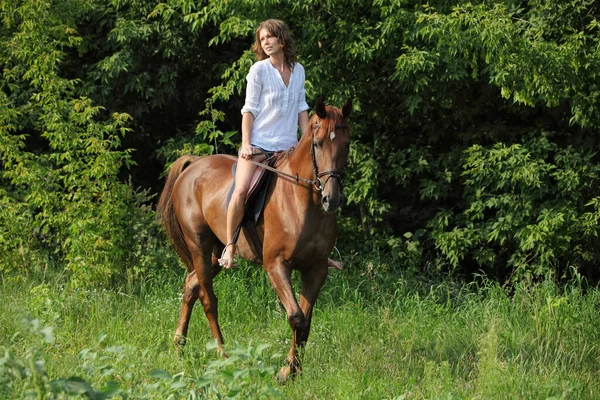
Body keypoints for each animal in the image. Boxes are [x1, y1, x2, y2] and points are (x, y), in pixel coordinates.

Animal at [157, 98, 352, 382]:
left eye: (347, 144)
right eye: (318, 144)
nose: (331, 198)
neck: (303, 203)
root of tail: (193, 165)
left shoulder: (316, 269)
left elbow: (306, 320)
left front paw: (293, 369)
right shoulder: (276, 265)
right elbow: (296, 317)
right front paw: (286, 371)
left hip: (215, 254)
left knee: (191, 284)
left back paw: (179, 346)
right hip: (199, 247)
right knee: (208, 299)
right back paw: (223, 355)